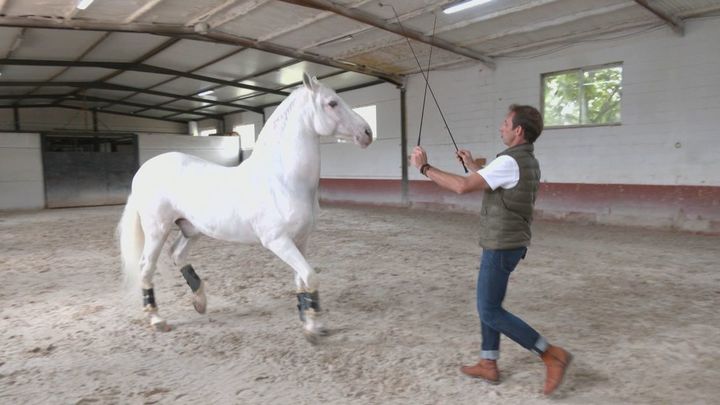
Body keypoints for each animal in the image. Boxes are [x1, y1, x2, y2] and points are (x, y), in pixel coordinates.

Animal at [117, 73, 373, 342]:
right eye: (332, 103)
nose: (367, 132)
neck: (284, 180)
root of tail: (145, 170)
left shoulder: (301, 241)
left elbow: (302, 279)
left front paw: (312, 321)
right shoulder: (278, 241)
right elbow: (311, 277)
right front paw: (312, 328)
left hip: (191, 229)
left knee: (177, 254)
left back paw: (200, 301)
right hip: (157, 230)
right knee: (146, 267)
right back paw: (157, 319)